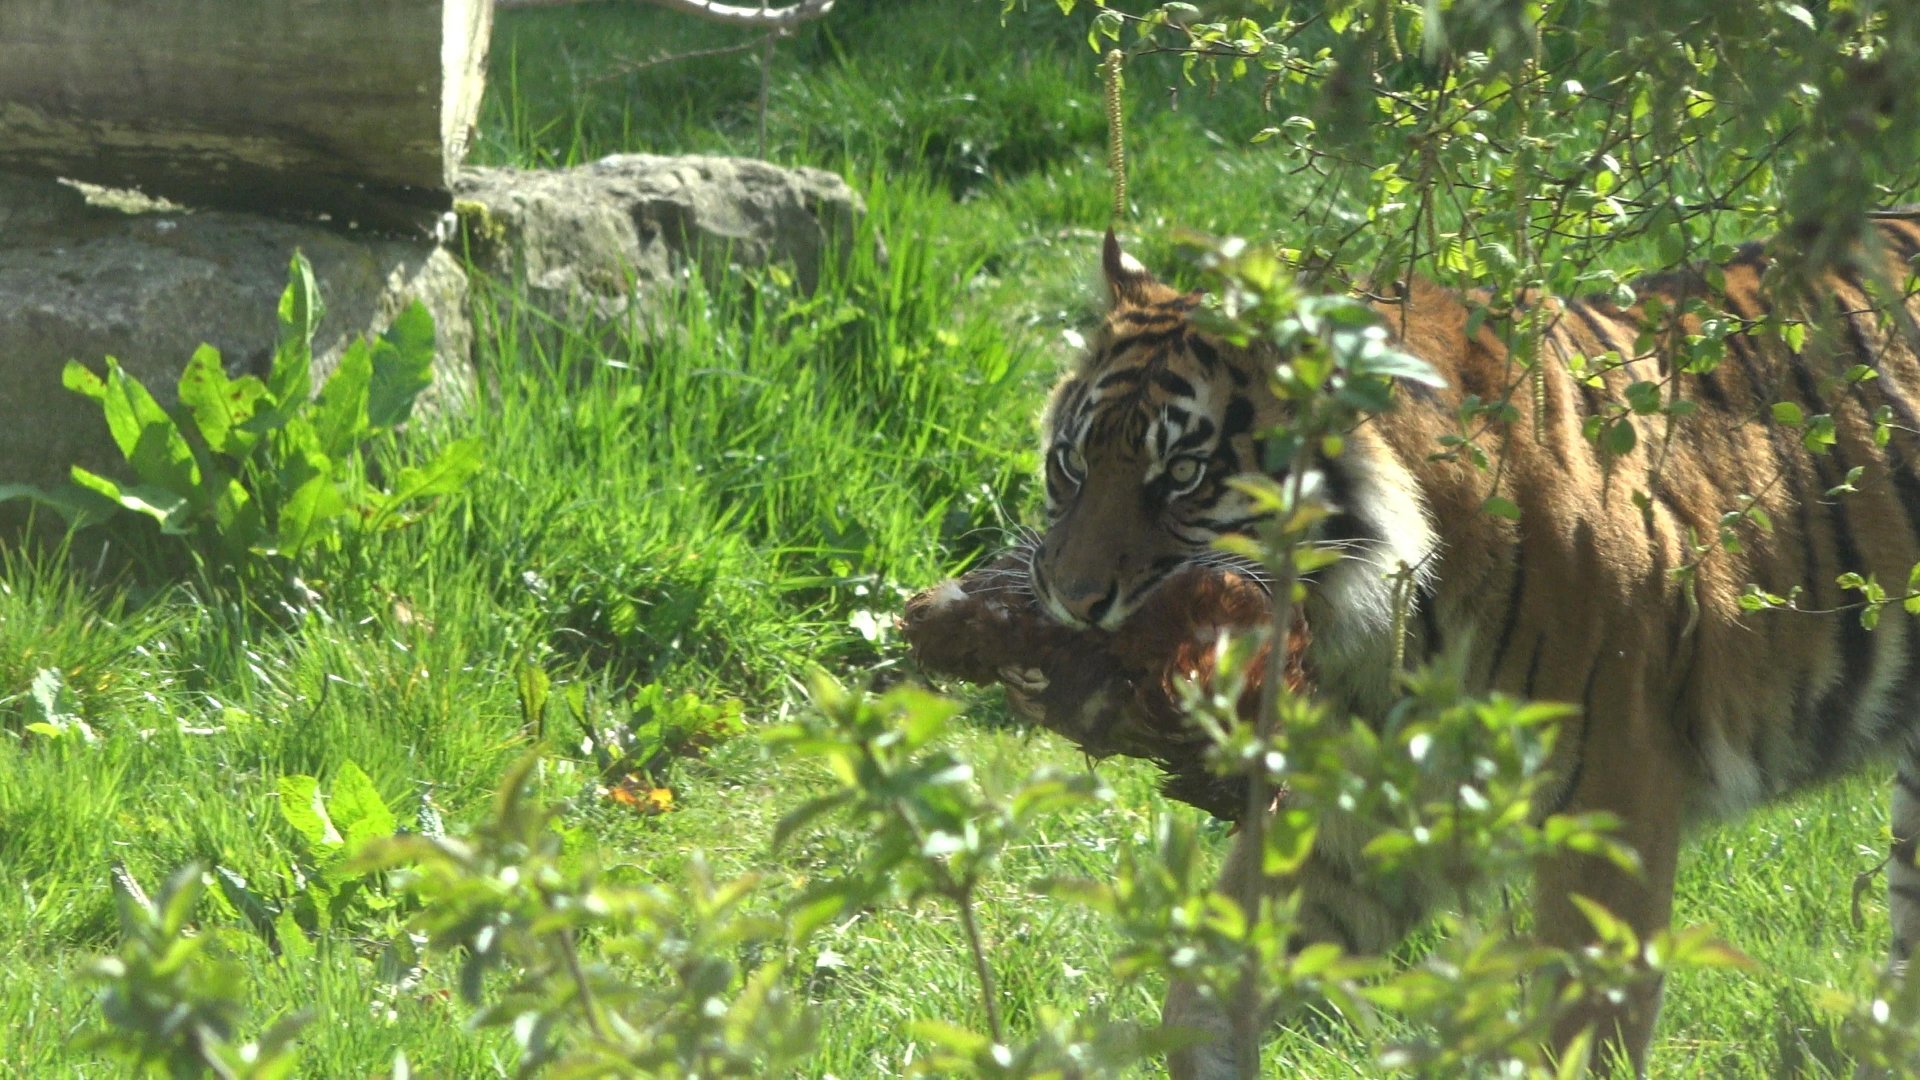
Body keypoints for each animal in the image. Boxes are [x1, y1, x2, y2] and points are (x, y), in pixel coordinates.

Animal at [1014, 216, 1920, 1077]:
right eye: (1071, 464)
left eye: (1183, 477)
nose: (1070, 597)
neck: (1381, 637)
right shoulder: (1360, 812)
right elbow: (1207, 986)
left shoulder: (1612, 804)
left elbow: (1586, 1033)